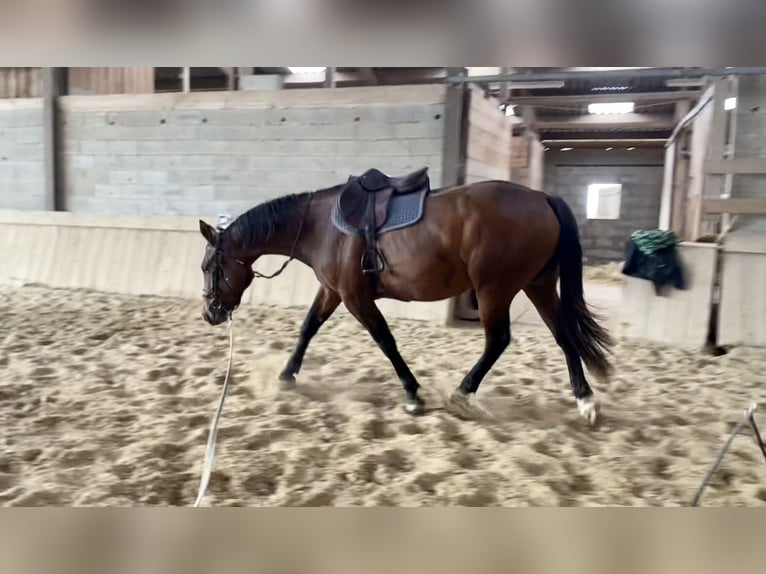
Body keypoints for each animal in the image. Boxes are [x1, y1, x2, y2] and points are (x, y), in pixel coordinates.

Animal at [198, 170, 614, 425]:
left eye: (207, 266)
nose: (210, 314)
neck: (320, 226)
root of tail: (542, 197)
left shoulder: (355, 297)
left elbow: (385, 340)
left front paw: (413, 394)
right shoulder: (332, 291)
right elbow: (307, 329)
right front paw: (286, 377)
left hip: (494, 290)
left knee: (498, 340)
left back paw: (462, 394)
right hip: (537, 286)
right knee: (564, 335)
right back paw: (585, 400)